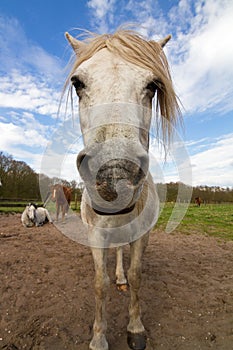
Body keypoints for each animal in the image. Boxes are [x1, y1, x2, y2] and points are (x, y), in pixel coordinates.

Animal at [64, 28, 181, 350]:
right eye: (77, 83)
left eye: (153, 85)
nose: (115, 171)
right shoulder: (95, 236)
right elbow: (99, 283)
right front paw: (98, 338)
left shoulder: (142, 236)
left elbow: (136, 275)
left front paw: (135, 328)